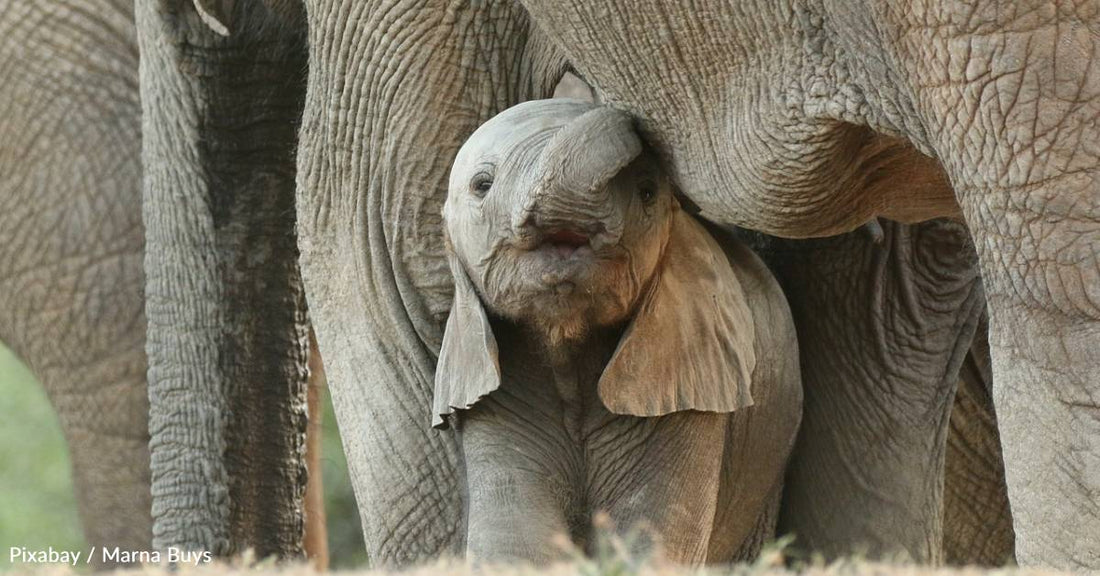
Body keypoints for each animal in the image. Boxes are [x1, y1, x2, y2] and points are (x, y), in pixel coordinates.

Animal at [436, 99, 801, 564]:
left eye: (647, 193)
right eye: (482, 186)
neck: (566, 342)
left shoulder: (688, 388)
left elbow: (649, 537)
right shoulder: (493, 398)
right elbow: (514, 544)